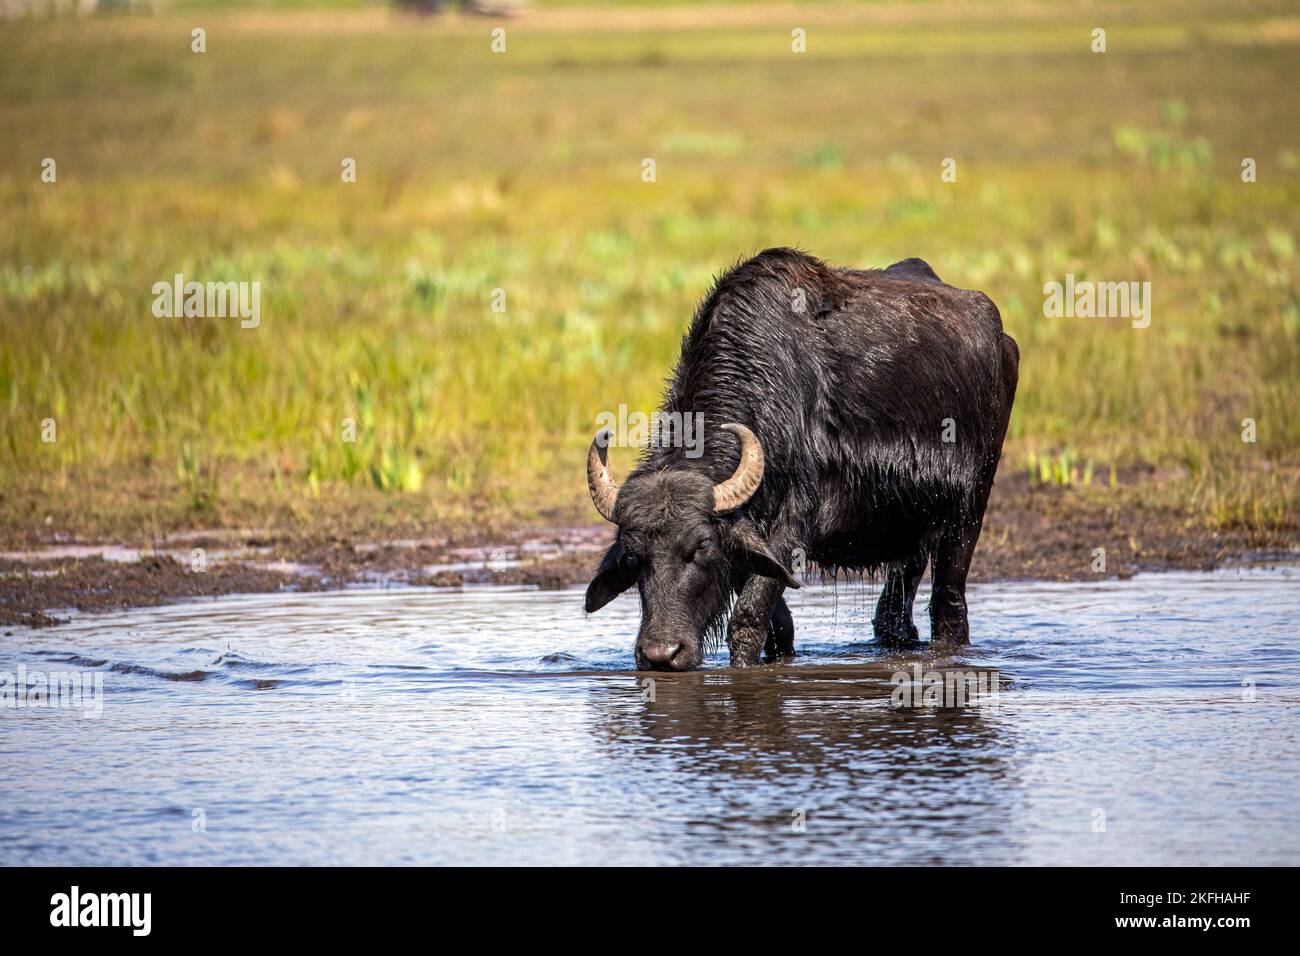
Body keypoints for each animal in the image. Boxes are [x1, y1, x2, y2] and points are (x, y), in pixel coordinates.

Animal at [585, 247, 1019, 671]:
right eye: (632, 555)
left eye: (702, 546)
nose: (661, 654)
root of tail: (1001, 339)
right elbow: (778, 624)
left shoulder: (791, 527)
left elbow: (747, 619)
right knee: (893, 613)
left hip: (968, 510)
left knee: (948, 605)